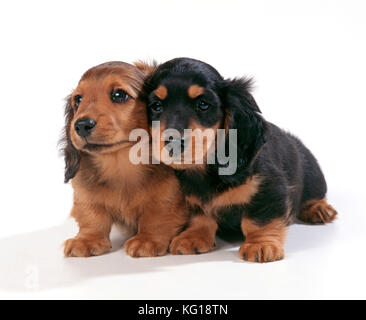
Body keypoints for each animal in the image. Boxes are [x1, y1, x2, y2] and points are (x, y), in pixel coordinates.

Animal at [60, 62, 189, 258]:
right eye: (78, 99)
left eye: (119, 95)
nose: (81, 125)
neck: (120, 165)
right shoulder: (86, 193)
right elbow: (92, 215)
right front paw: (86, 239)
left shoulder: (169, 194)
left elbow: (158, 214)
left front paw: (147, 239)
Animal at [143, 57, 338, 262]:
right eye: (156, 106)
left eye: (203, 104)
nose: (172, 141)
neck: (208, 170)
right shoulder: (193, 198)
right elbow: (201, 216)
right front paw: (192, 237)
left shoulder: (269, 188)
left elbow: (259, 219)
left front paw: (261, 244)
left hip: (313, 175)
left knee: (315, 195)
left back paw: (318, 209)